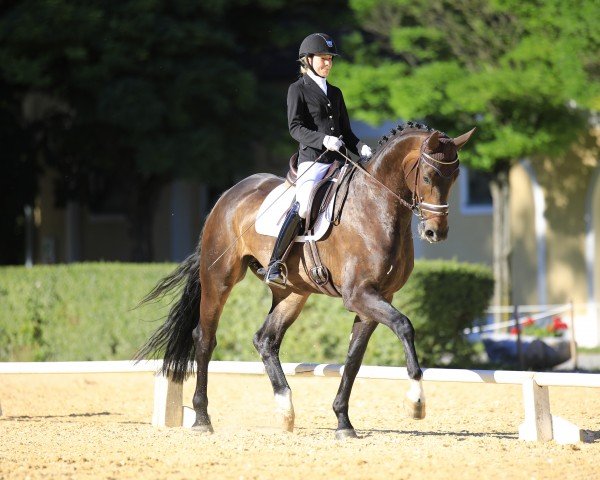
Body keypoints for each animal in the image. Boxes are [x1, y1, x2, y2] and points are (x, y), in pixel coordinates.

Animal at [136, 123, 474, 438]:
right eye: (428, 176)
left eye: (455, 176)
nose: (435, 233)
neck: (376, 206)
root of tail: (227, 195)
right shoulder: (359, 295)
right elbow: (404, 325)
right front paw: (416, 402)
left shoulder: (378, 298)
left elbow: (354, 358)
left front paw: (343, 422)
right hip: (219, 279)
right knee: (204, 338)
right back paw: (202, 418)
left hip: (293, 293)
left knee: (265, 340)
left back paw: (285, 409)